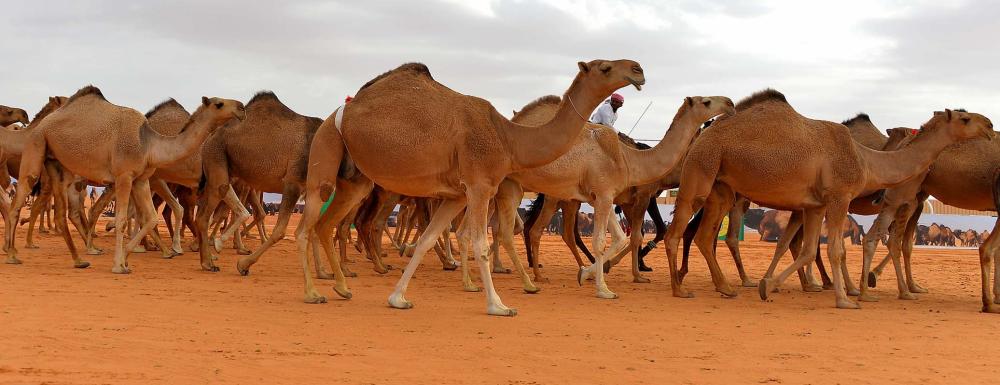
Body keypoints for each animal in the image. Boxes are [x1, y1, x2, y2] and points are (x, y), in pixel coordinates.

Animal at [4, 86, 246, 272]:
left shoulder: (141, 179)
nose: (242, 107)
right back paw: (12, 255)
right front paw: (119, 264)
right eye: (218, 104)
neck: (149, 144)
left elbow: (150, 217)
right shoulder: (124, 176)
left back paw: (80, 260)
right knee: (19, 201)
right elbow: (121, 218)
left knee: (62, 212)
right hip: (37, 145)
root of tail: (39, 126)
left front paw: (128, 256)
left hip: (58, 164)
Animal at [292, 60, 644, 312]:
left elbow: (427, 239)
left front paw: (398, 298)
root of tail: (342, 109)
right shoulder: (480, 186)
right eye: (605, 67)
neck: (508, 139)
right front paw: (498, 304)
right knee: (306, 224)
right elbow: (478, 244)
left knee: (324, 224)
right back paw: (311, 292)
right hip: (326, 151)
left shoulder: (457, 195)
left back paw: (341, 287)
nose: (638, 69)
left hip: (356, 180)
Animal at [660, 88, 996, 308]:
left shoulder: (815, 204)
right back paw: (680, 289)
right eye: (965, 118)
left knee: (704, 236)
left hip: (722, 185)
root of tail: (702, 134)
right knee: (678, 230)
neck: (866, 160)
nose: (991, 126)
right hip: (701, 169)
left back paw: (726, 287)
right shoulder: (839, 197)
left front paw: (770, 285)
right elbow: (835, 249)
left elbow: (809, 249)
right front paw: (847, 299)